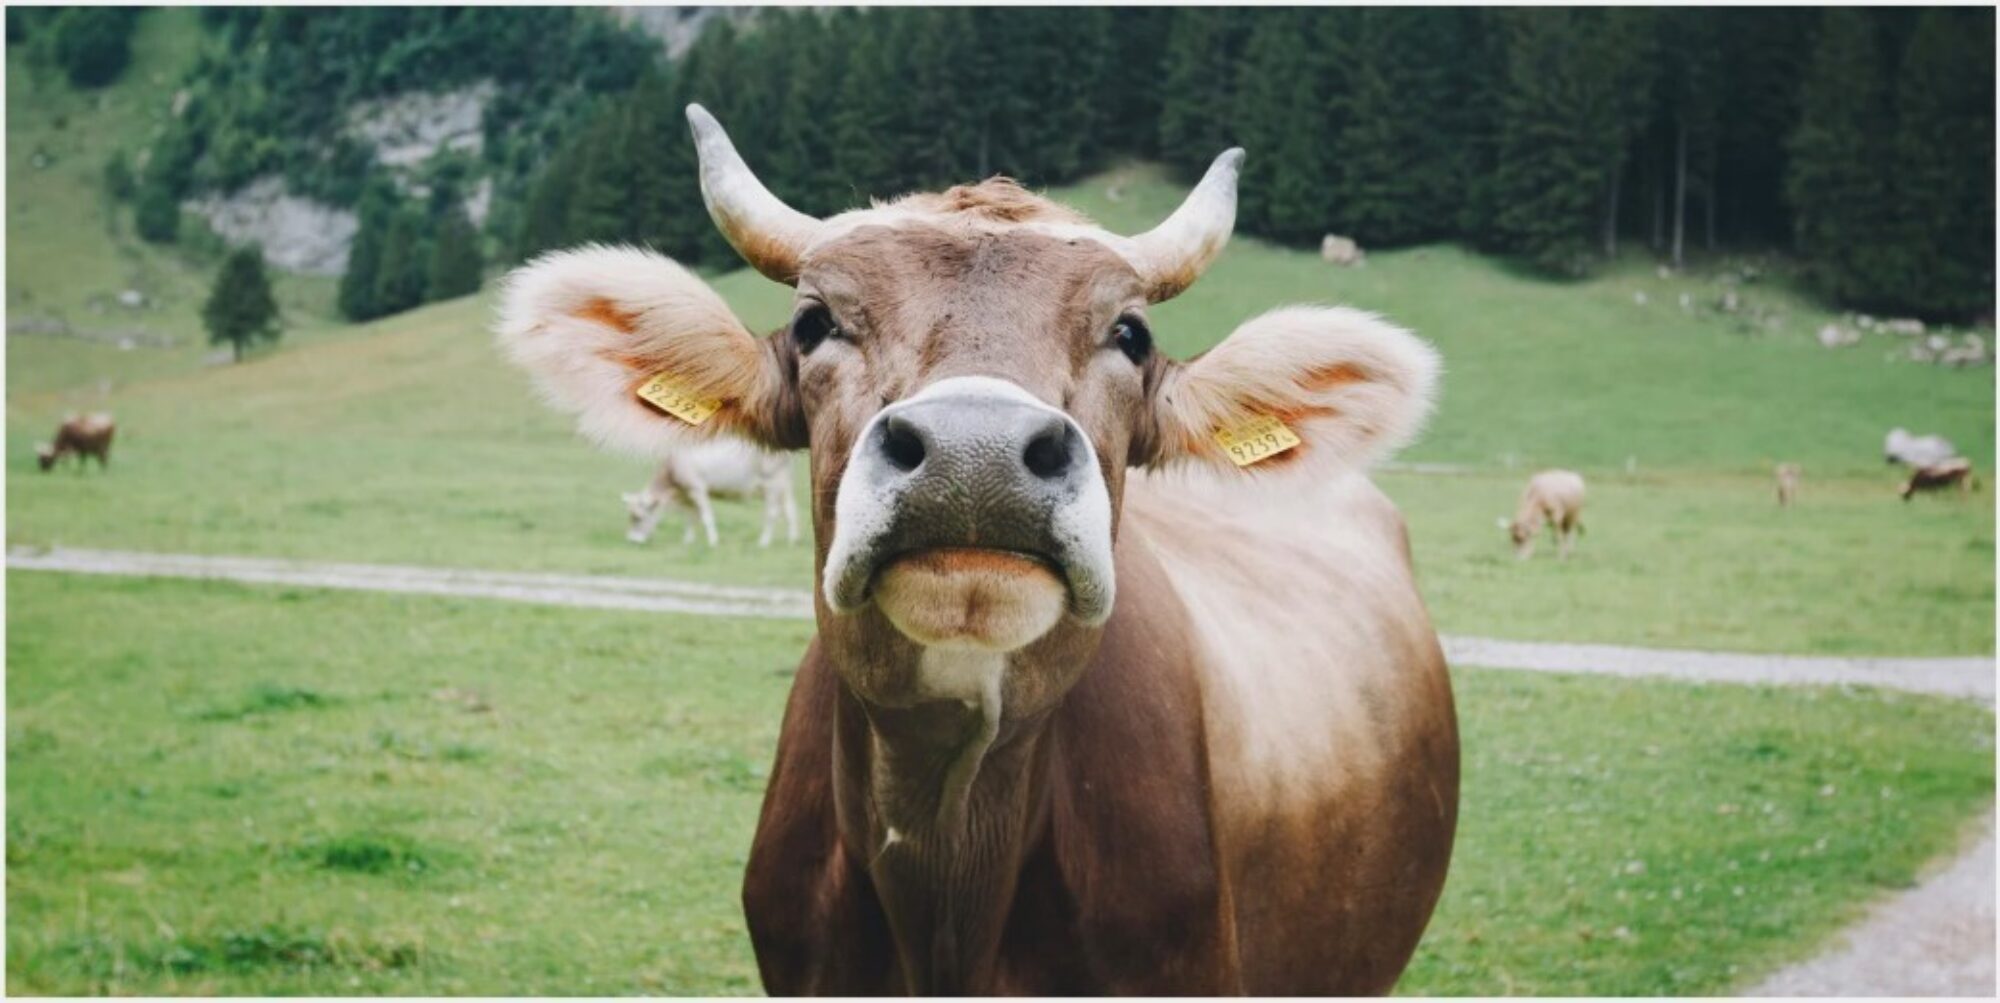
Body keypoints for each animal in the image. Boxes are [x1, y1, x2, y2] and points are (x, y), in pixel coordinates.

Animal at [623, 439, 799, 547]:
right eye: (630, 516)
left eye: (638, 517)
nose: (632, 541)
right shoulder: (686, 496)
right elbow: (690, 518)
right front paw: (688, 541)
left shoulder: (697, 489)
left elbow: (706, 517)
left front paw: (713, 542)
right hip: (784, 486)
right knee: (790, 510)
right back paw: (792, 541)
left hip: (773, 483)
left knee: (772, 513)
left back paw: (763, 543)